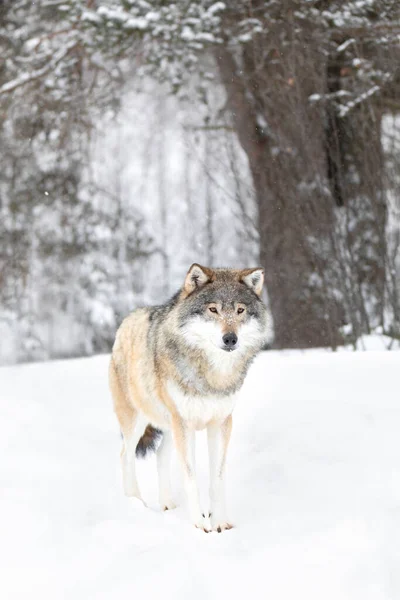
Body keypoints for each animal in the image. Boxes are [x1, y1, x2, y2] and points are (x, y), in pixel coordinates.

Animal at [108, 264, 268, 532]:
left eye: (240, 310)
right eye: (213, 309)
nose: (230, 338)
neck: (212, 376)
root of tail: (128, 319)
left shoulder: (220, 423)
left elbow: (217, 479)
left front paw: (219, 522)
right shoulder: (184, 423)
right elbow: (191, 478)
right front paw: (200, 526)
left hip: (170, 426)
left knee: (160, 455)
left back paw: (167, 504)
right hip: (138, 422)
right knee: (124, 456)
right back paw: (136, 503)